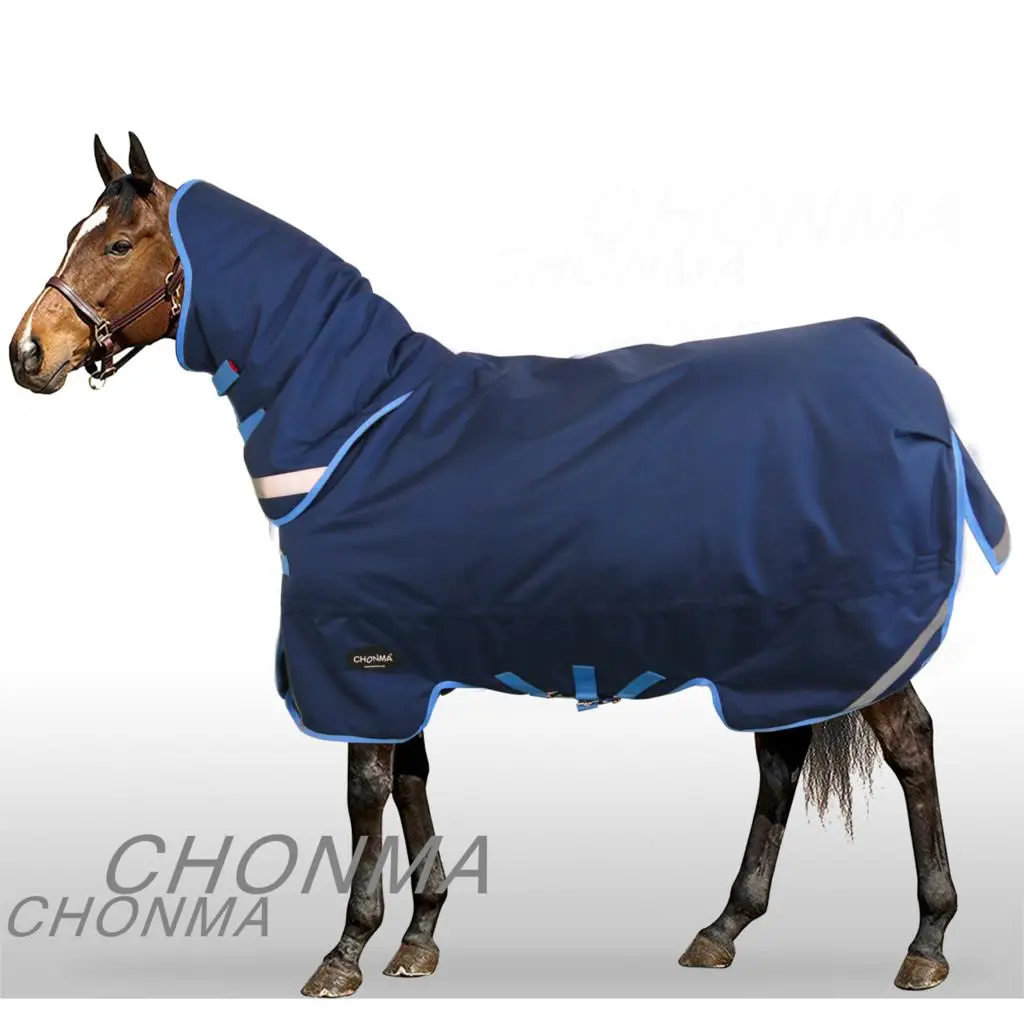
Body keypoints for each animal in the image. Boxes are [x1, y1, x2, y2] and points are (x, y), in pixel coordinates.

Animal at [10, 133, 1000, 996]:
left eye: (120, 242)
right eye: (72, 235)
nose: (29, 352)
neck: (360, 423)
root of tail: (900, 367)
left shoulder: (355, 658)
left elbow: (365, 791)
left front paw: (345, 952)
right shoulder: (397, 657)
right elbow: (410, 780)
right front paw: (418, 937)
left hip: (844, 633)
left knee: (910, 747)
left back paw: (927, 940)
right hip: (784, 645)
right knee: (782, 757)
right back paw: (723, 928)